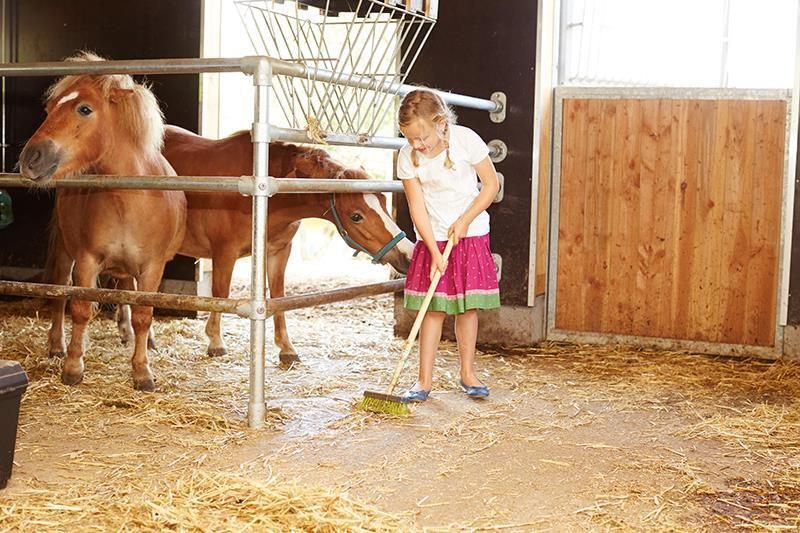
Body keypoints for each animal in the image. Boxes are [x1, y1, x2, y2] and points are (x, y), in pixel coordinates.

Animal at [21, 54, 187, 390]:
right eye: (49, 108)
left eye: (84, 109)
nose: (30, 158)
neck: (129, 200)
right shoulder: (87, 260)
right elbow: (80, 308)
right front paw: (73, 366)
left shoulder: (152, 267)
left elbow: (143, 313)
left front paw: (142, 371)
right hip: (65, 252)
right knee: (60, 290)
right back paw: (57, 345)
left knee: (126, 292)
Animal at [160, 126, 416, 364]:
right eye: (356, 216)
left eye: (383, 201)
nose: (407, 256)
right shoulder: (224, 252)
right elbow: (220, 293)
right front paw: (215, 342)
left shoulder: (278, 252)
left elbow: (278, 295)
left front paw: (286, 348)